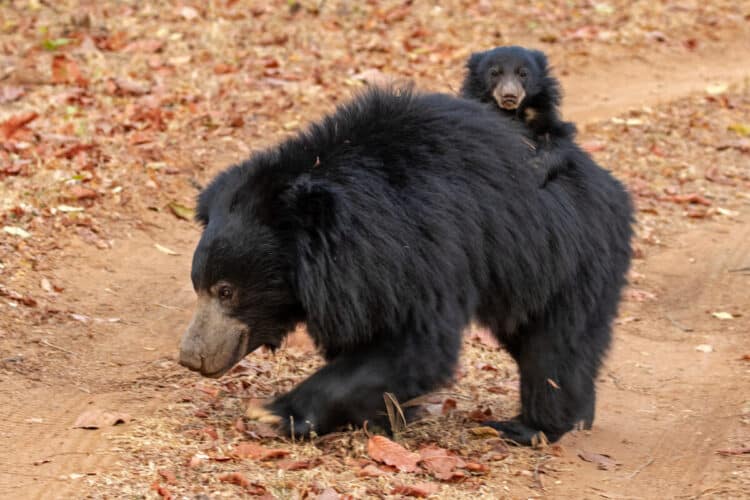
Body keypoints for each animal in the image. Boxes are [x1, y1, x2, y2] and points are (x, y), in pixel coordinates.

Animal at [181, 86, 636, 446]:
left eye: (227, 290)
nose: (191, 357)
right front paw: (383, 417)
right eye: (197, 286)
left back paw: (532, 427)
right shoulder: (363, 279)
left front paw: (276, 414)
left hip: (568, 258)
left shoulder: (422, 247)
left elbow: (416, 344)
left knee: (555, 348)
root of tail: (613, 189)